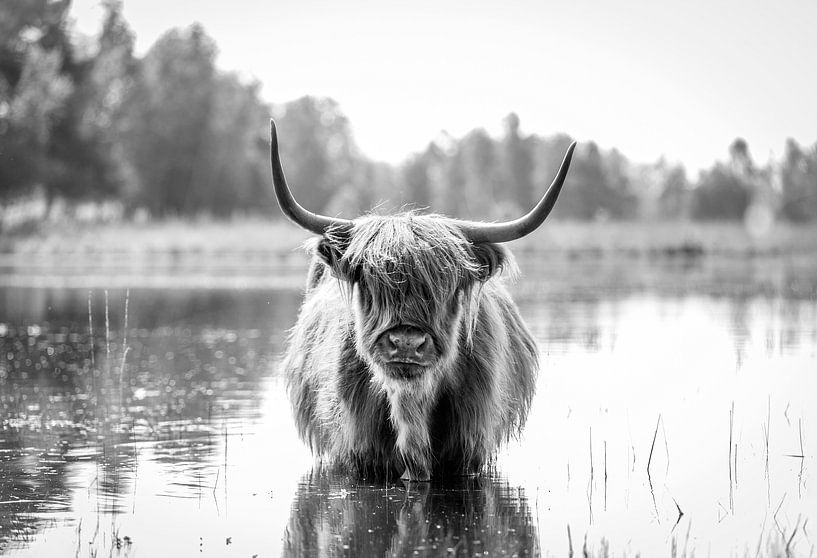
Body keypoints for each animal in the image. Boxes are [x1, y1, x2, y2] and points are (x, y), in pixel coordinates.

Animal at [270, 120, 576, 484]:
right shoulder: (357, 455)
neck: (410, 407)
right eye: (371, 284)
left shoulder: (468, 455)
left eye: (447, 287)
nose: (405, 343)